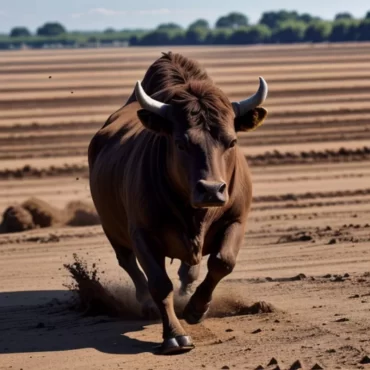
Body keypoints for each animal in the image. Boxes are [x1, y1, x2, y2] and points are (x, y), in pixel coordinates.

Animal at [89, 52, 268, 356]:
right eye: (181, 143)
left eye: (231, 141)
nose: (211, 190)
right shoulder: (143, 234)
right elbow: (159, 283)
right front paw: (174, 335)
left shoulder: (235, 220)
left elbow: (222, 262)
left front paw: (196, 308)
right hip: (112, 229)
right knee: (129, 264)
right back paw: (146, 303)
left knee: (191, 268)